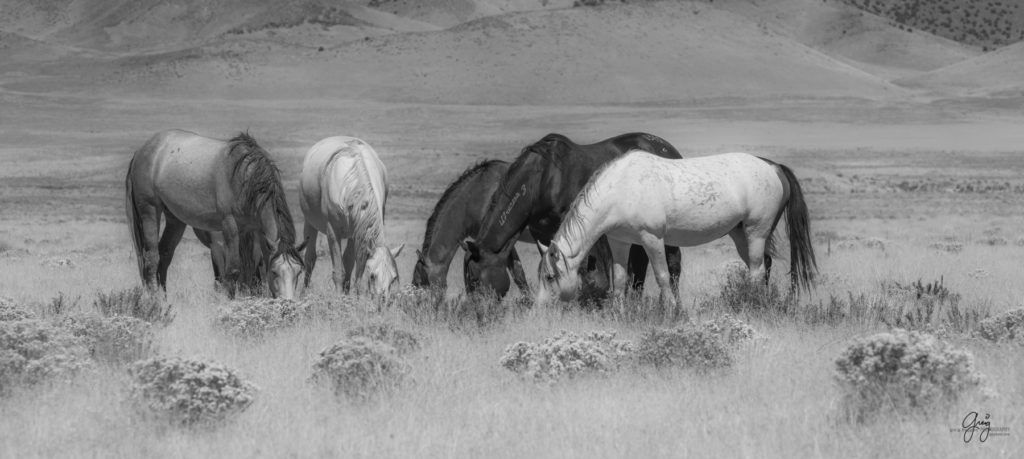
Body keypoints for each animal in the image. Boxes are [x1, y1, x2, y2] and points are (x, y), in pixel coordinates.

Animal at [125, 131, 305, 299]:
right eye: (274, 272)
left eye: (298, 273)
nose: (288, 304)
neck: (245, 177)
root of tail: (141, 151)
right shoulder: (229, 226)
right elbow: (233, 271)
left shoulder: (254, 231)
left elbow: (247, 273)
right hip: (150, 211)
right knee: (151, 258)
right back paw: (155, 300)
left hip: (175, 219)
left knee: (165, 255)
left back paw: (164, 298)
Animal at [299, 134, 401, 295]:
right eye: (372, 276)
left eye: (393, 278)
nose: (382, 300)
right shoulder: (332, 233)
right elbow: (338, 272)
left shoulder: (356, 232)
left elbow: (350, 267)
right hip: (309, 223)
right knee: (309, 259)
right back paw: (303, 294)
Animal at [462, 132, 684, 301]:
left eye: (474, 279)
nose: (479, 315)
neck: (541, 181)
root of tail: (668, 149)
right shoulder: (540, 232)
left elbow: (586, 270)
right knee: (639, 264)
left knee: (673, 264)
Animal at [536, 152, 815, 309]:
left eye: (549, 277)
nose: (539, 310)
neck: (621, 188)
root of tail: (774, 167)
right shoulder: (619, 242)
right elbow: (620, 279)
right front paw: (618, 312)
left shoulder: (651, 238)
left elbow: (662, 276)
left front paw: (671, 311)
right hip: (740, 234)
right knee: (764, 264)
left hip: (756, 232)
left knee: (757, 268)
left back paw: (753, 303)